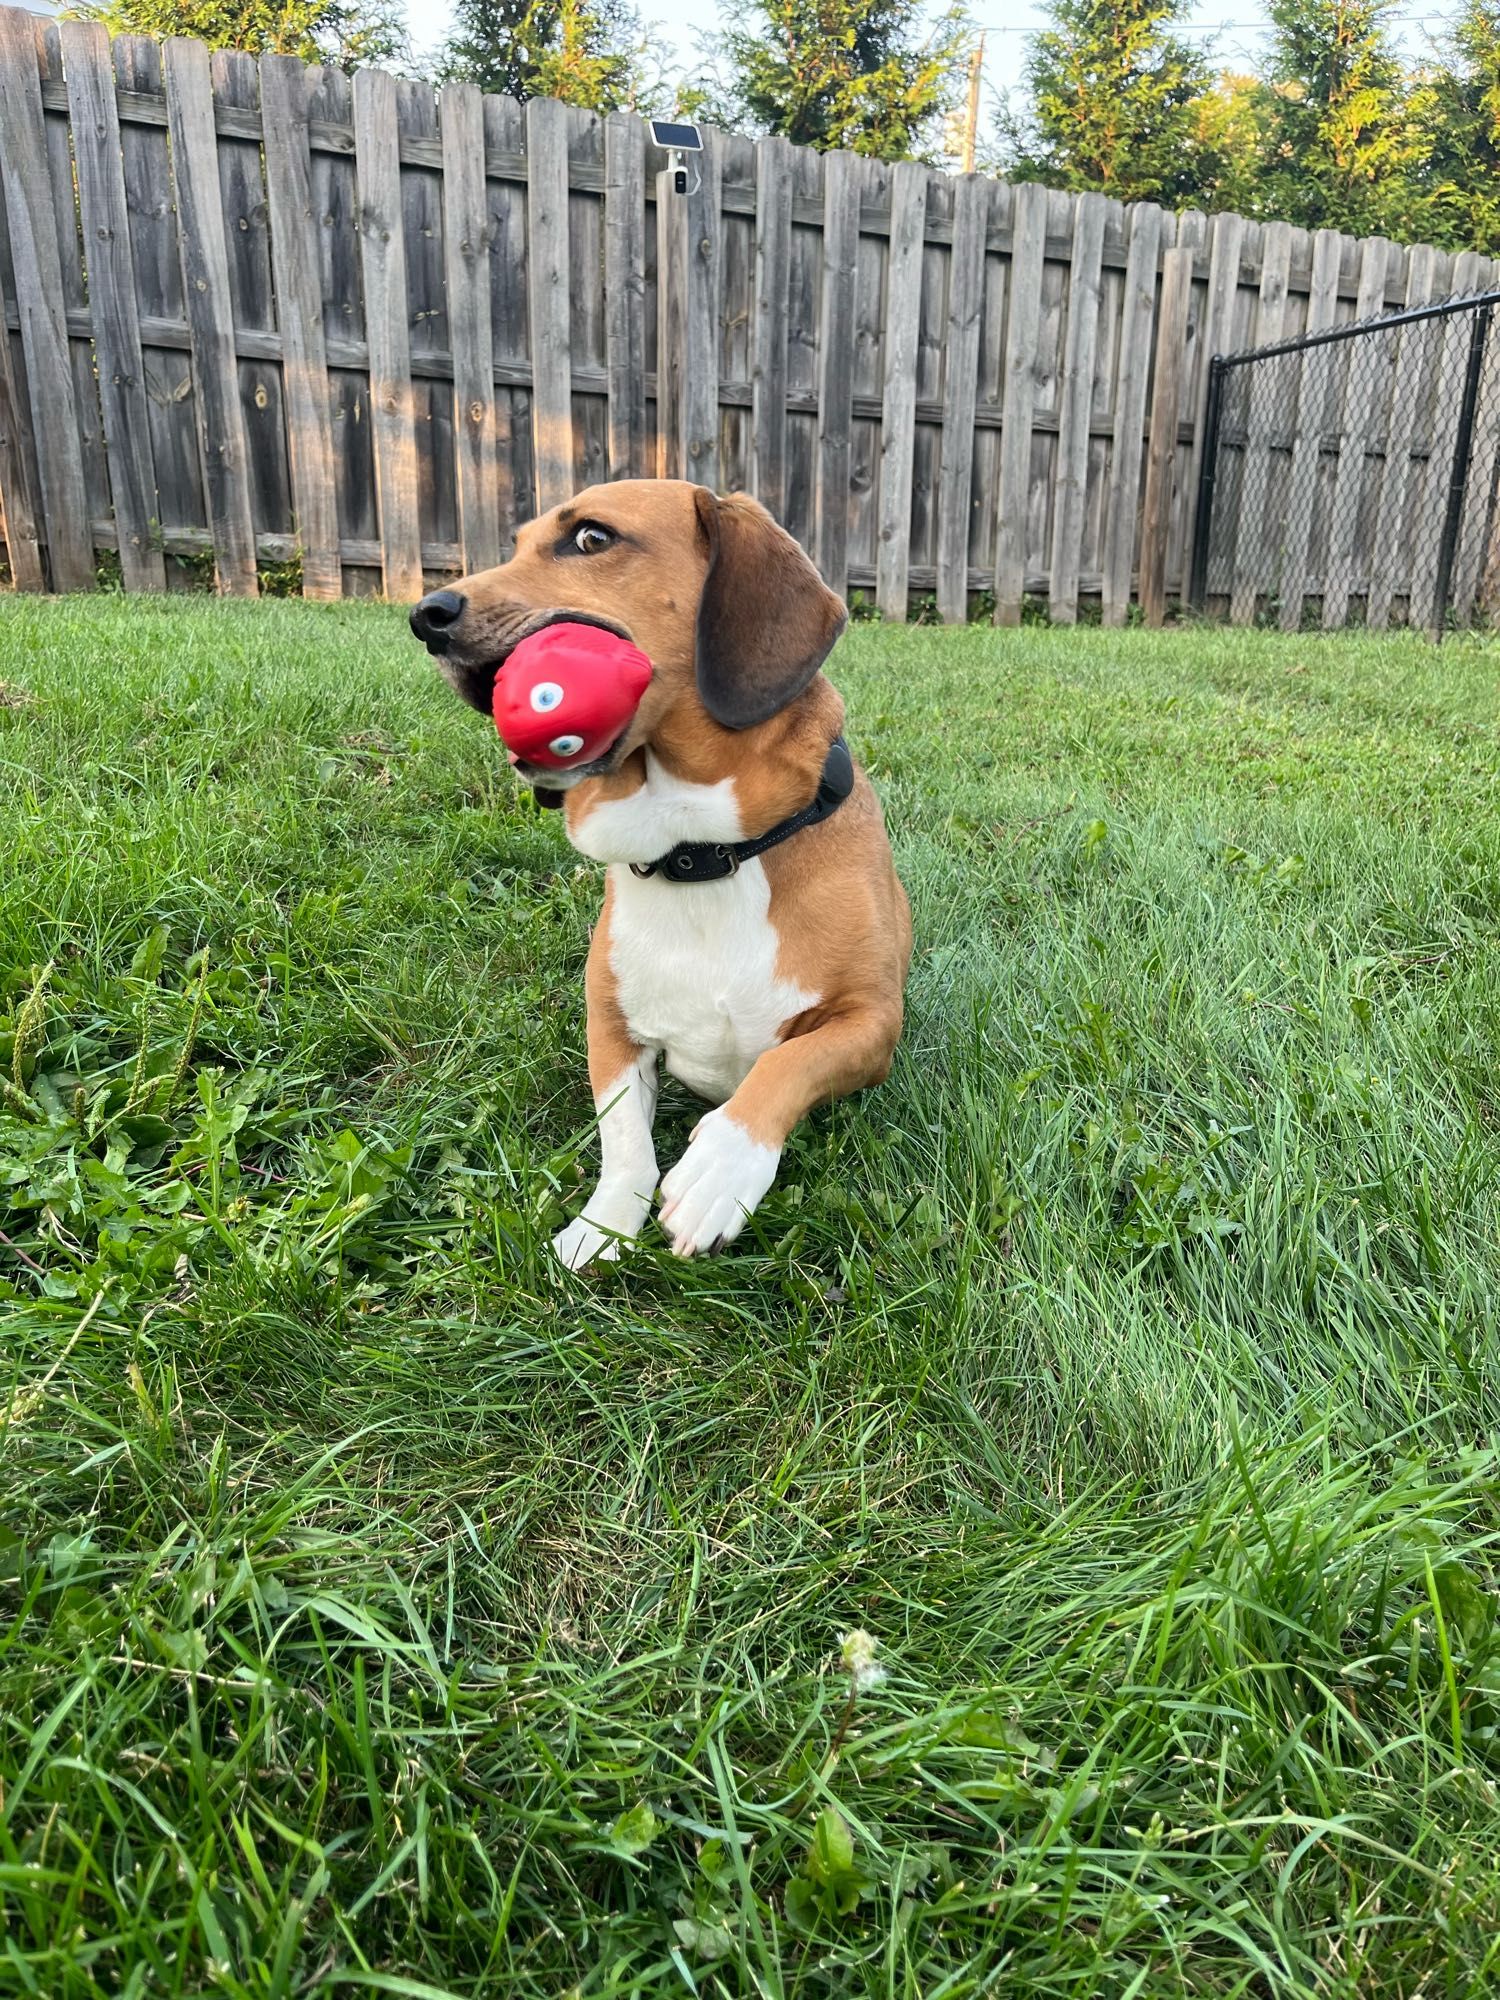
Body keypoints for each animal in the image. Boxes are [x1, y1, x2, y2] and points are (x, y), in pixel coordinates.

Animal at [408, 480, 916, 1264]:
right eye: (517, 544)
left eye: (590, 538)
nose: (425, 615)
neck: (703, 852)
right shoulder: (611, 1029)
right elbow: (624, 1142)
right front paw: (605, 1220)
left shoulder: (871, 1024)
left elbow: (788, 1064)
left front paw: (724, 1166)